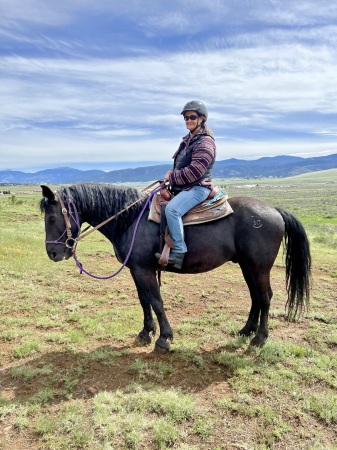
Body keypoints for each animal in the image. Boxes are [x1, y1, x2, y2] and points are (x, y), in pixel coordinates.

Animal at [39, 184, 310, 352]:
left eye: (52, 218)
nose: (52, 253)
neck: (130, 218)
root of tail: (275, 211)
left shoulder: (145, 270)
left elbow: (156, 301)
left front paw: (164, 337)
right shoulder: (136, 270)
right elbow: (144, 301)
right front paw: (146, 332)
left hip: (259, 267)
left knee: (265, 297)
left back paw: (260, 338)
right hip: (247, 266)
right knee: (255, 296)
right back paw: (246, 331)